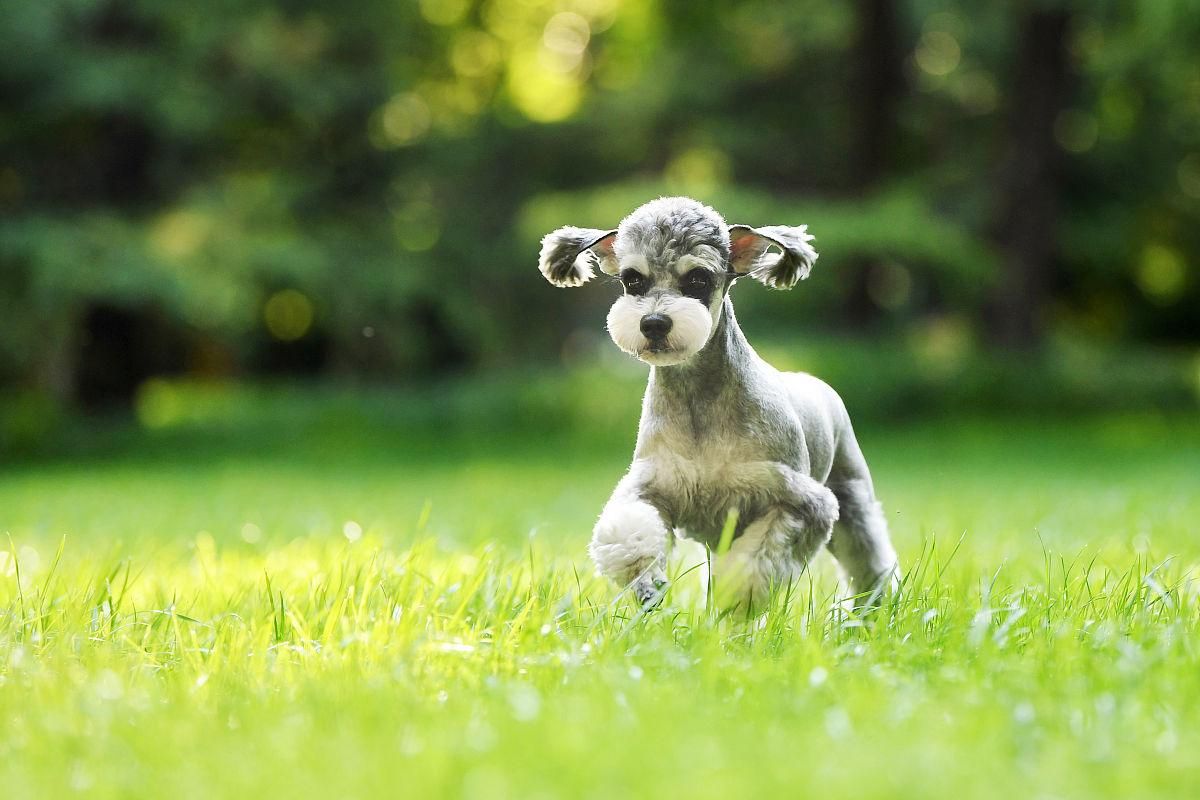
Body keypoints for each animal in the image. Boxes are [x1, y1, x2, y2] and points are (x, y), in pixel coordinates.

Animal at [540, 196, 897, 609]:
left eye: (698, 279)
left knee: (869, 558)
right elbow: (630, 532)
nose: (654, 323)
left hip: (852, 497)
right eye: (633, 279)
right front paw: (647, 582)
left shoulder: (799, 504)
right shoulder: (650, 487)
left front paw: (736, 598)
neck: (698, 402)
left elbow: (757, 561)